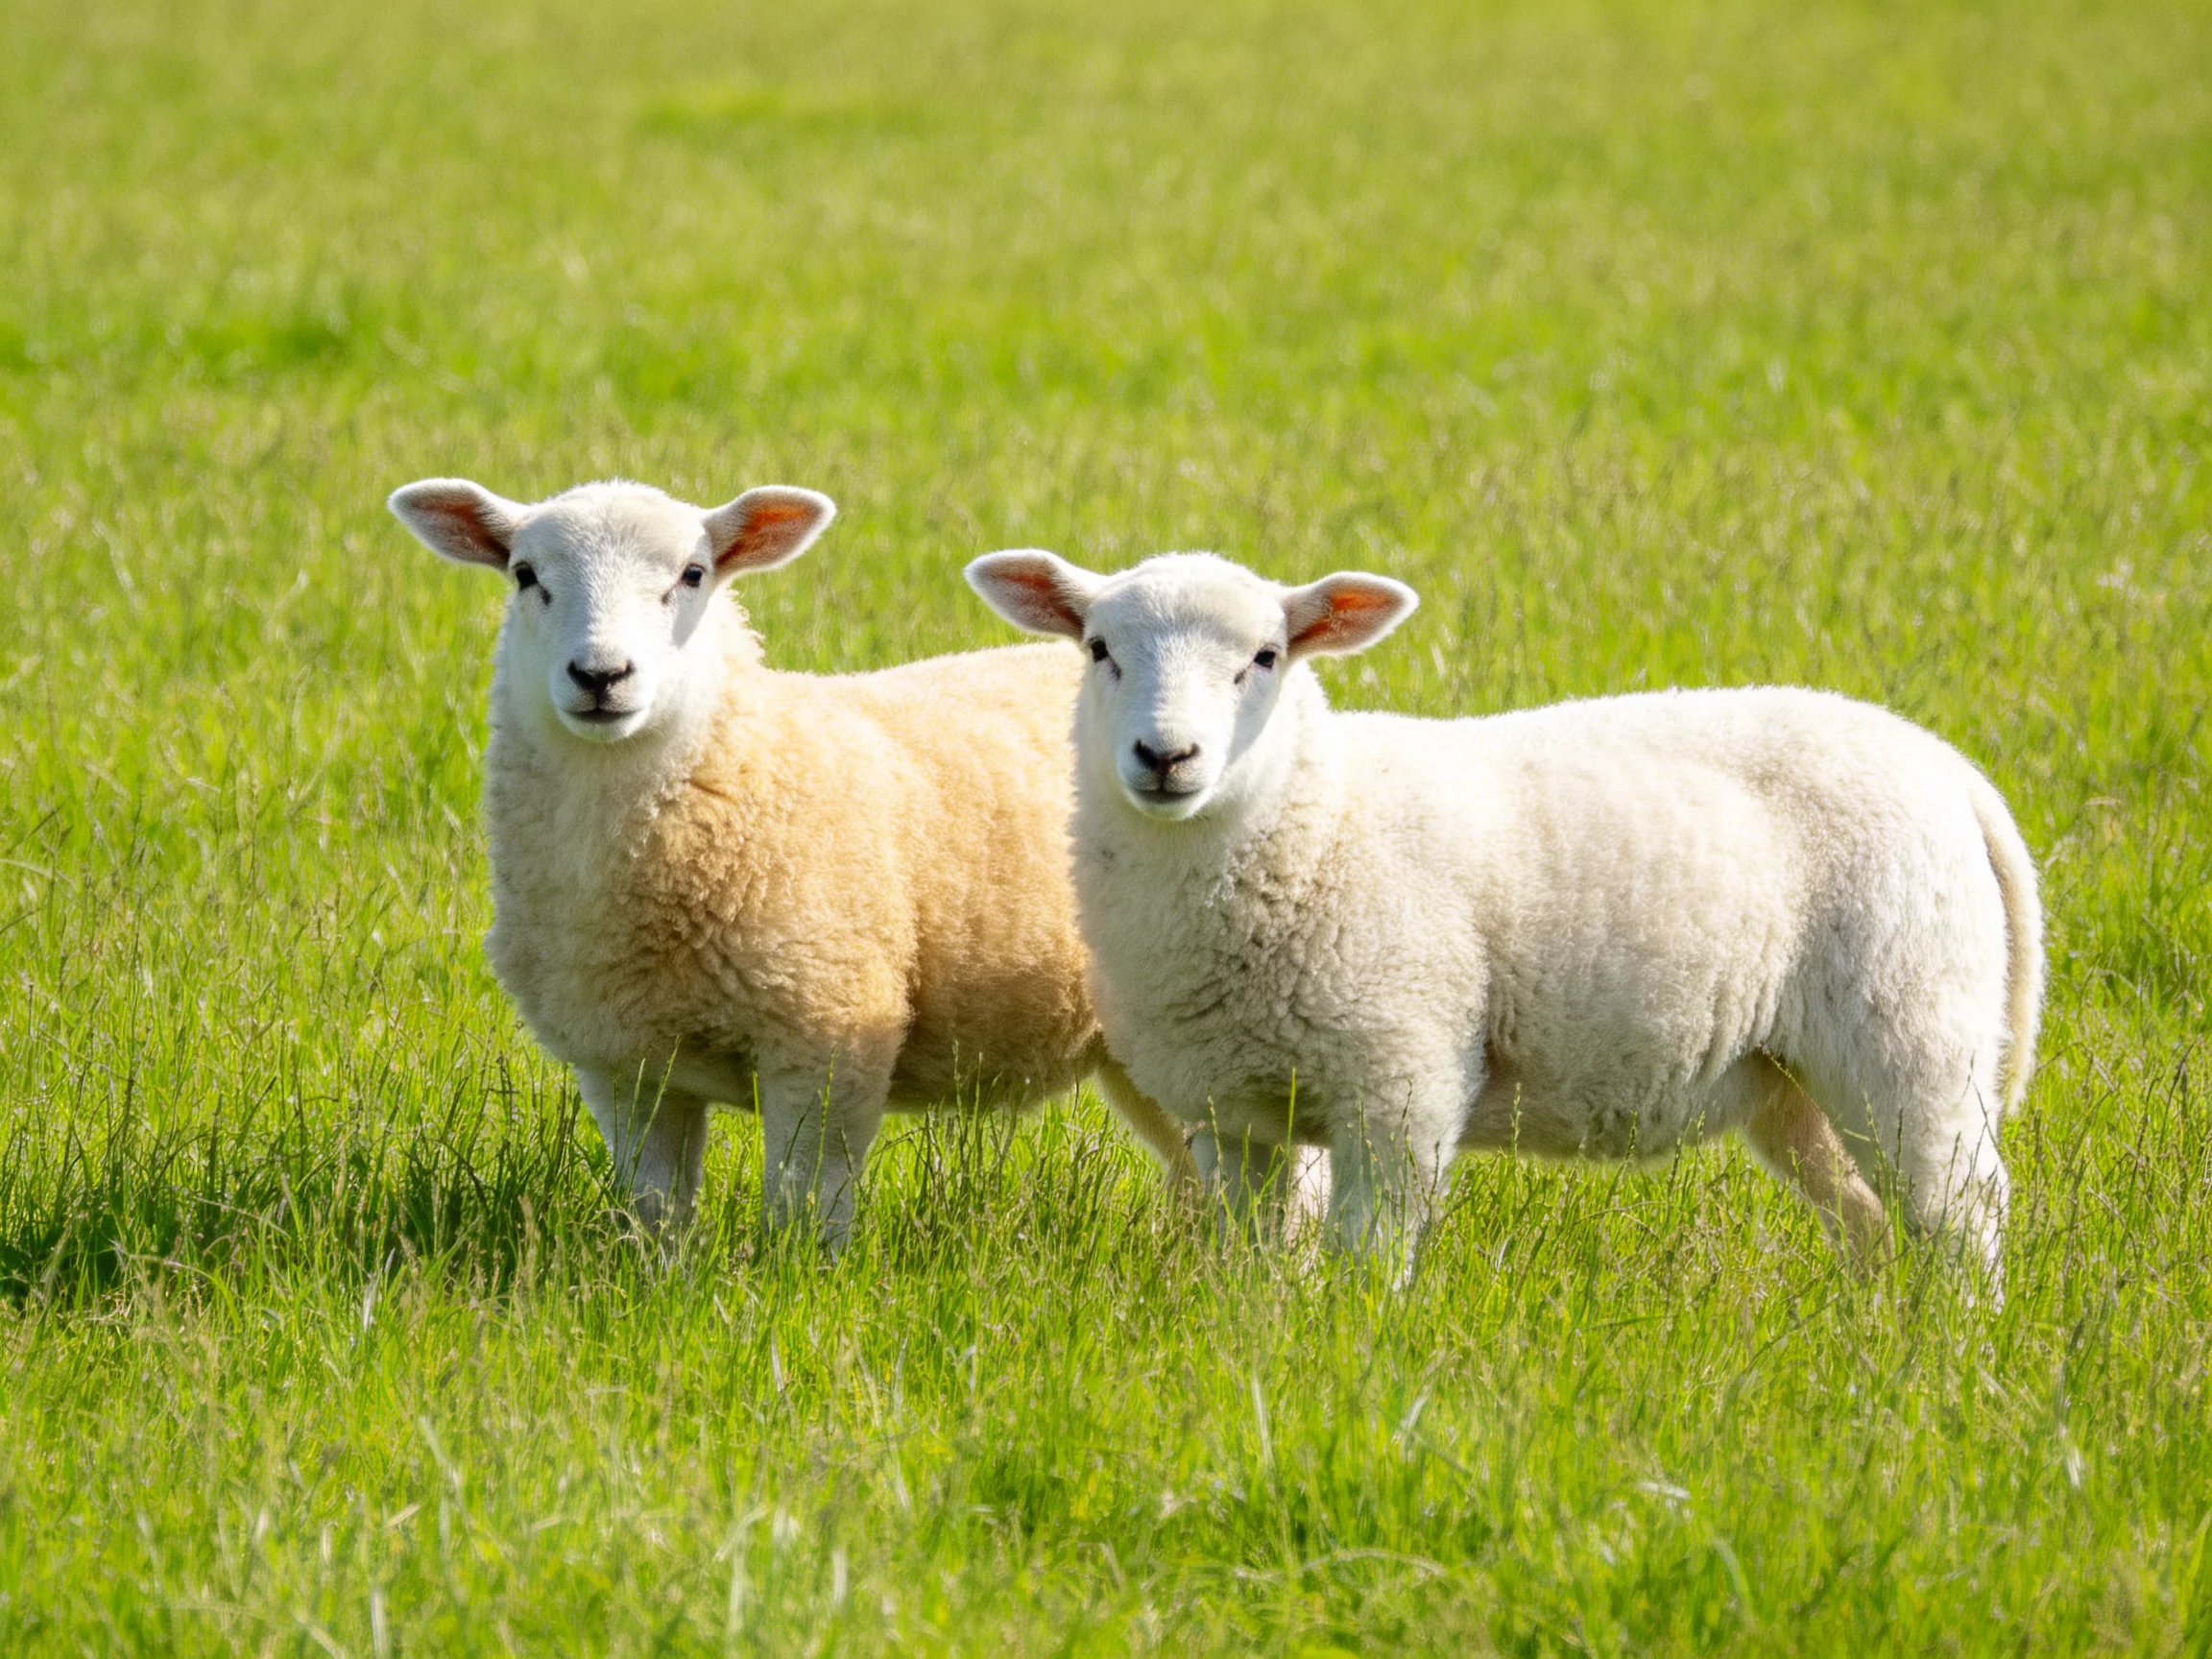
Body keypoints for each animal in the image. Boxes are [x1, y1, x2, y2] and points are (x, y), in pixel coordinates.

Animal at [386, 477, 1196, 1244]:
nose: (601, 676)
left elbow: (806, 1203)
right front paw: (660, 1275)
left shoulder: (829, 1029)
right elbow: (655, 1207)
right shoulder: (625, 1063)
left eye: (692, 574)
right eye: (525, 575)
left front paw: (801, 1280)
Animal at [966, 548, 2044, 1282]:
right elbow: (1252, 1255)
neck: (1317, 819)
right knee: (1873, 1216)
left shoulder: (1400, 1075)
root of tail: (1949, 769)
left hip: (1909, 1024)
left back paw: (1956, 1356)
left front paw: (1347, 1363)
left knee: (1963, 1209)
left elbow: (1367, 1256)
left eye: (1266, 657)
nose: (1166, 757)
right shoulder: (1229, 1113)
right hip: (1794, 1077)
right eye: (1098, 650)